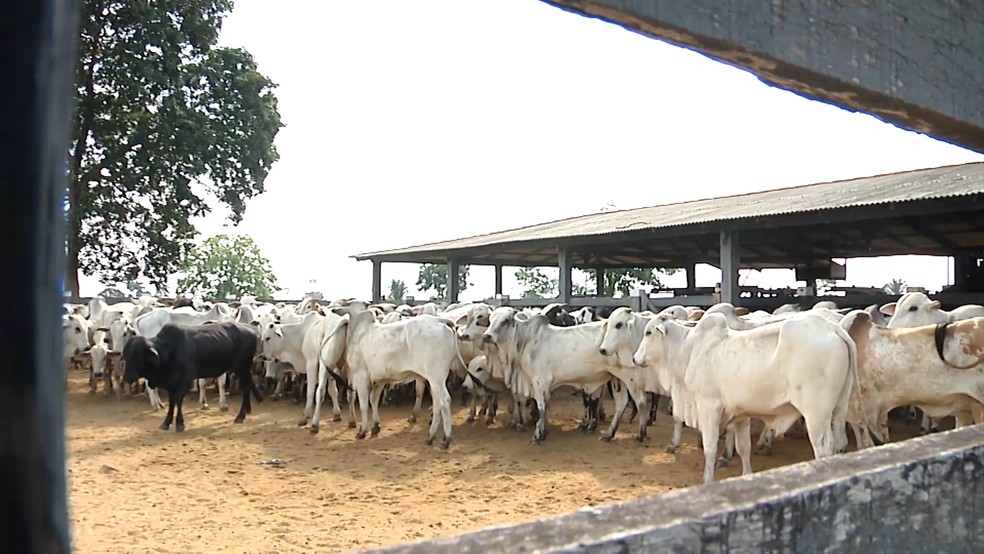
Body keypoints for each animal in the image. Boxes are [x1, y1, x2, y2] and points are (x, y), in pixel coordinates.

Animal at [123, 320, 266, 432]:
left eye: (138, 356)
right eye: (126, 356)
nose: (127, 377)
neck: (168, 351)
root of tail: (251, 329)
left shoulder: (184, 381)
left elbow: (178, 401)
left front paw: (179, 423)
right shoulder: (171, 384)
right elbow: (171, 402)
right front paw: (166, 422)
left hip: (243, 366)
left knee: (246, 386)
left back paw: (240, 416)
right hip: (239, 369)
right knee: (246, 385)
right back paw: (247, 410)